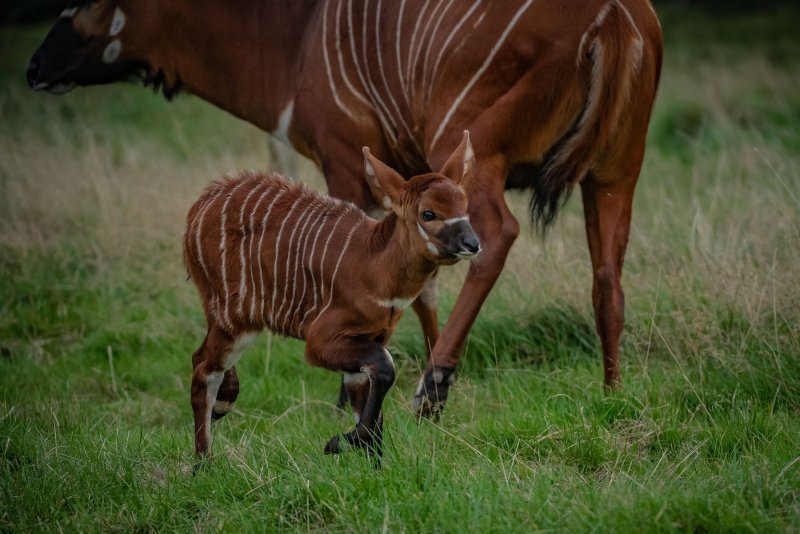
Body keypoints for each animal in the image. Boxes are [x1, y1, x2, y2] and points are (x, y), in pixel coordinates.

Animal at [184, 133, 478, 460]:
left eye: (465, 206)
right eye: (429, 214)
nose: (473, 243)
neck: (373, 262)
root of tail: (199, 208)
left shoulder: (371, 338)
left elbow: (369, 398)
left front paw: (365, 455)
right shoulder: (320, 341)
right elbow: (384, 367)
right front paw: (339, 442)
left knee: (204, 359)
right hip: (233, 319)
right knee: (203, 367)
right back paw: (203, 461)